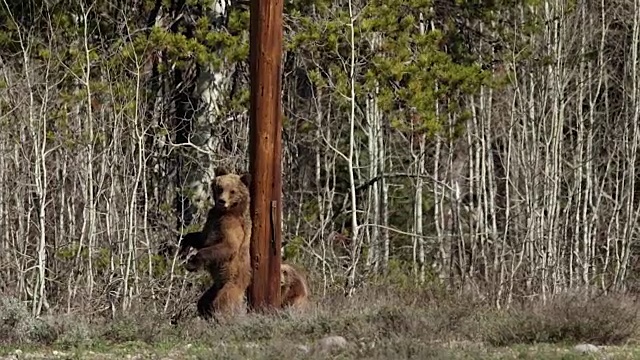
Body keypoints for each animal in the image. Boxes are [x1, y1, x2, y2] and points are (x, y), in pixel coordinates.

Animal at [180, 167, 252, 320]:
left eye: (232, 191)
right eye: (220, 188)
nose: (221, 201)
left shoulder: (230, 226)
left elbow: (227, 247)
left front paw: (192, 262)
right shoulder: (211, 220)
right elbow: (200, 238)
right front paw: (183, 248)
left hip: (230, 286)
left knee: (221, 305)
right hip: (214, 288)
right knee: (203, 303)